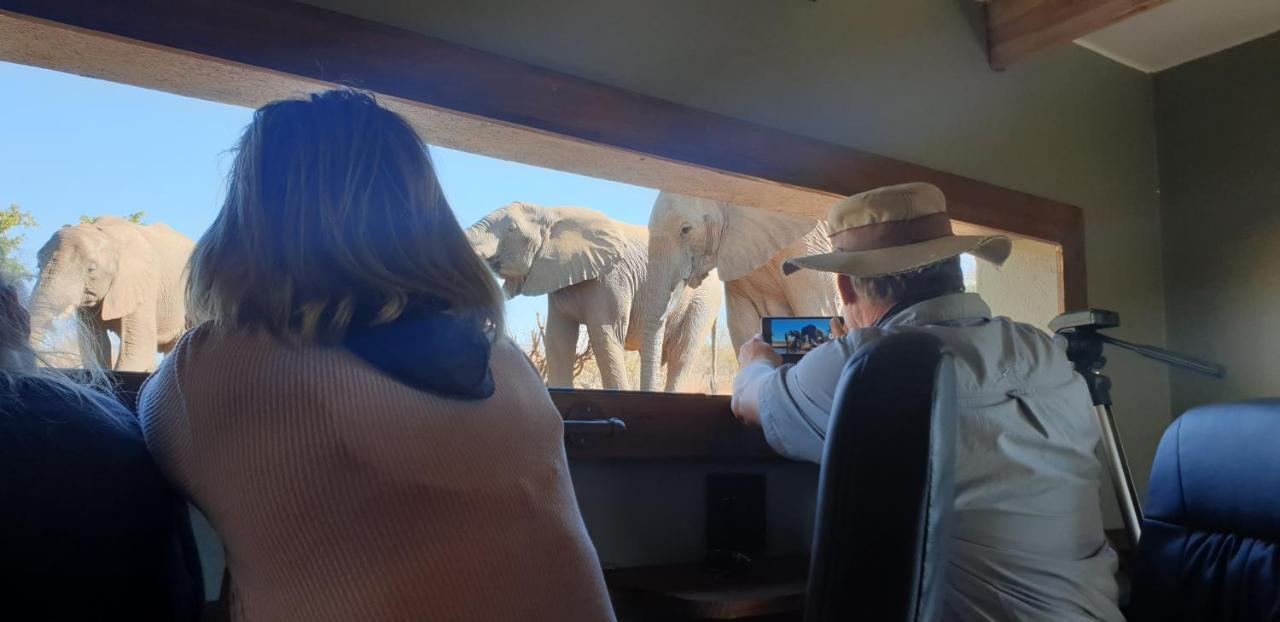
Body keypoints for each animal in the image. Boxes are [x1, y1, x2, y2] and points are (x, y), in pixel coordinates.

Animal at [28, 215, 194, 368]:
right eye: (38, 265)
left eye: (91, 269)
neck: (107, 234)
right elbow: (95, 345)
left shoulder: (143, 284)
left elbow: (136, 350)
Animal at [468, 202, 721, 391]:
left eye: (511, 229)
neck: (553, 211)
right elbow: (558, 339)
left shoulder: (611, 280)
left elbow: (604, 336)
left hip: (702, 303)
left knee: (682, 355)